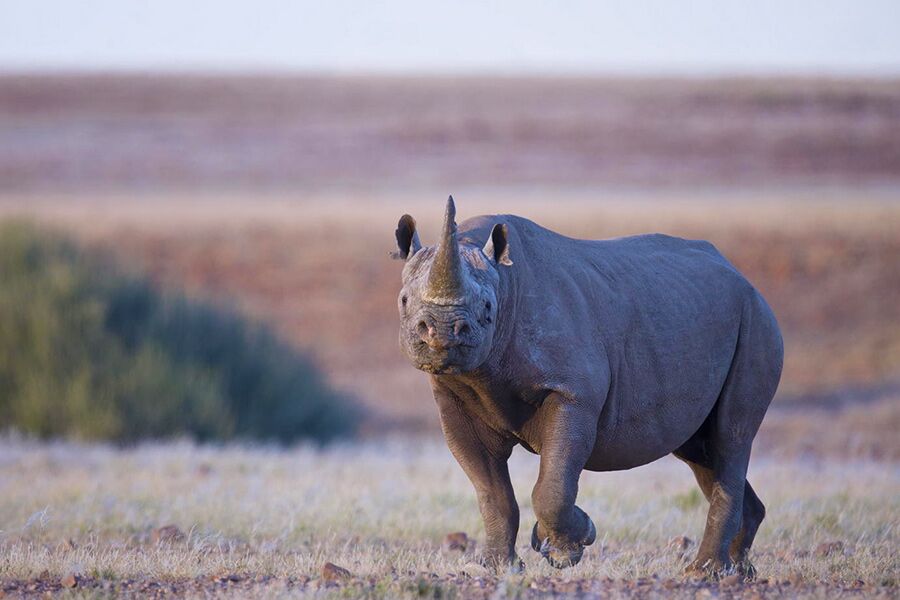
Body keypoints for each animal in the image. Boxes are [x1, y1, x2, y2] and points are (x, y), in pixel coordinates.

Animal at [392, 197, 783, 579]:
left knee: (730, 438)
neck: (503, 281)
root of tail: (745, 279)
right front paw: (497, 568)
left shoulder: (573, 393)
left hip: (756, 320)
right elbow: (491, 490)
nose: (443, 331)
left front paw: (567, 548)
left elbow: (553, 485)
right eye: (404, 301)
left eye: (487, 307)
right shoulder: (454, 397)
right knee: (702, 450)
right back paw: (738, 571)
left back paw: (704, 573)